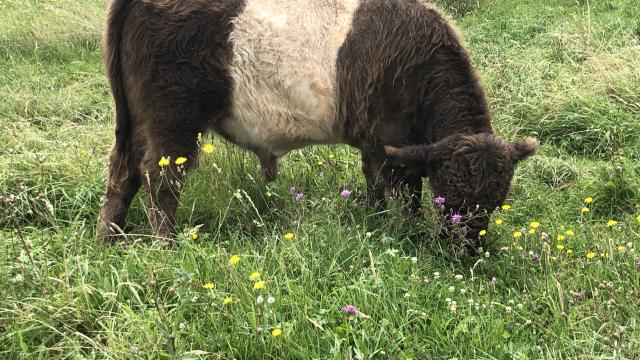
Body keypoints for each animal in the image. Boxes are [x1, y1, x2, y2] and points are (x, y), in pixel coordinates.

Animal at [96, 0, 536, 245]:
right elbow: (405, 200)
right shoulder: (393, 149)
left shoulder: (374, 146)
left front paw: (375, 224)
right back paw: (165, 246)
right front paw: (407, 237)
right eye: (450, 198)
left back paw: (108, 242)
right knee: (161, 180)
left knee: (122, 174)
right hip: (172, 121)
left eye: (496, 202)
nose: (467, 251)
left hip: (135, 122)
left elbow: (374, 189)